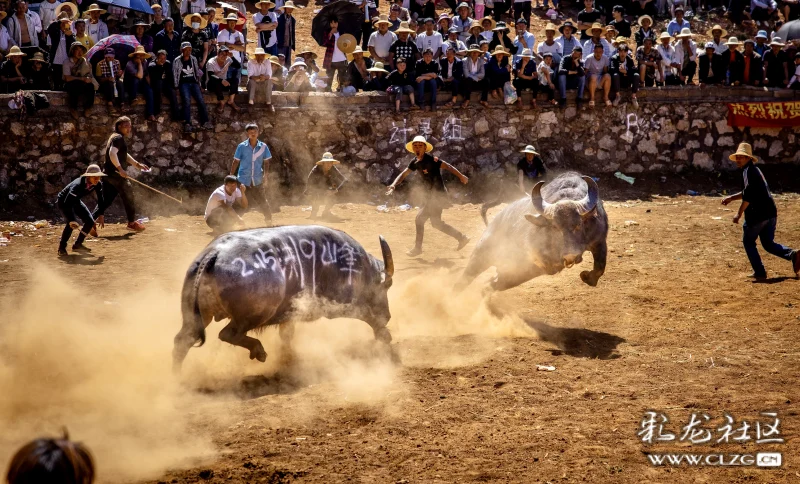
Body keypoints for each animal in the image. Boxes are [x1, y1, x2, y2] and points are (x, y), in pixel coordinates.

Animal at [173, 226, 394, 370]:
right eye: (386, 286)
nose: (388, 316)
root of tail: (215, 252)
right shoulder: (338, 304)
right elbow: (364, 313)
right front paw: (384, 333)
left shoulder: (290, 315)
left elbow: (286, 335)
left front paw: (289, 358)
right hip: (255, 314)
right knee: (228, 334)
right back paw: (259, 350)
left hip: (197, 316)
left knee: (183, 340)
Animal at [456, 173, 608, 292]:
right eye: (555, 227)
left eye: (578, 224)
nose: (570, 256)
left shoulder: (599, 240)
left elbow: (600, 267)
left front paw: (586, 276)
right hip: (481, 254)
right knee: (464, 280)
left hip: (513, 275)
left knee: (490, 286)